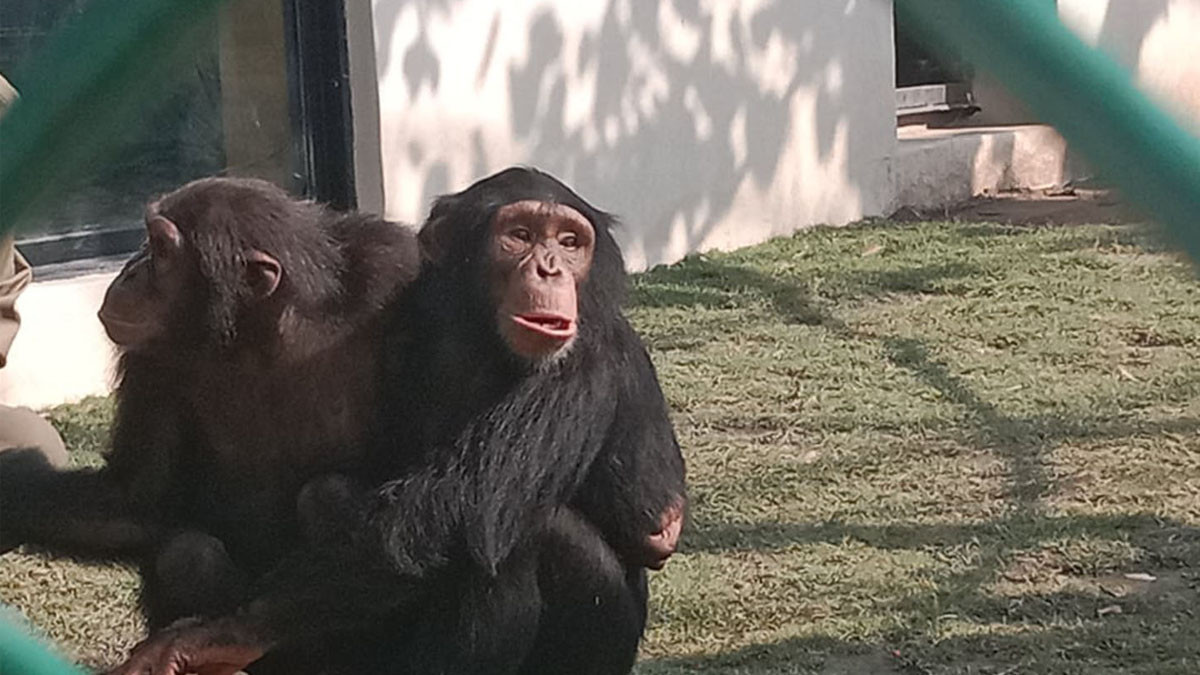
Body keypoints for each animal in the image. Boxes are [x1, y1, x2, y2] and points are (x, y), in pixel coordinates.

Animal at [0, 176, 422, 634]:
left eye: (161, 249)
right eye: (149, 241)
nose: (131, 269)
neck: (260, 330)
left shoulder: (393, 272)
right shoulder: (151, 358)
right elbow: (135, 496)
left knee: (327, 493)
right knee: (188, 553)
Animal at [112, 164, 696, 672]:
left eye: (570, 242)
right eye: (520, 235)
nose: (549, 267)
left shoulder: (583, 356)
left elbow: (459, 512)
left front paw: (214, 635)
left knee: (514, 532)